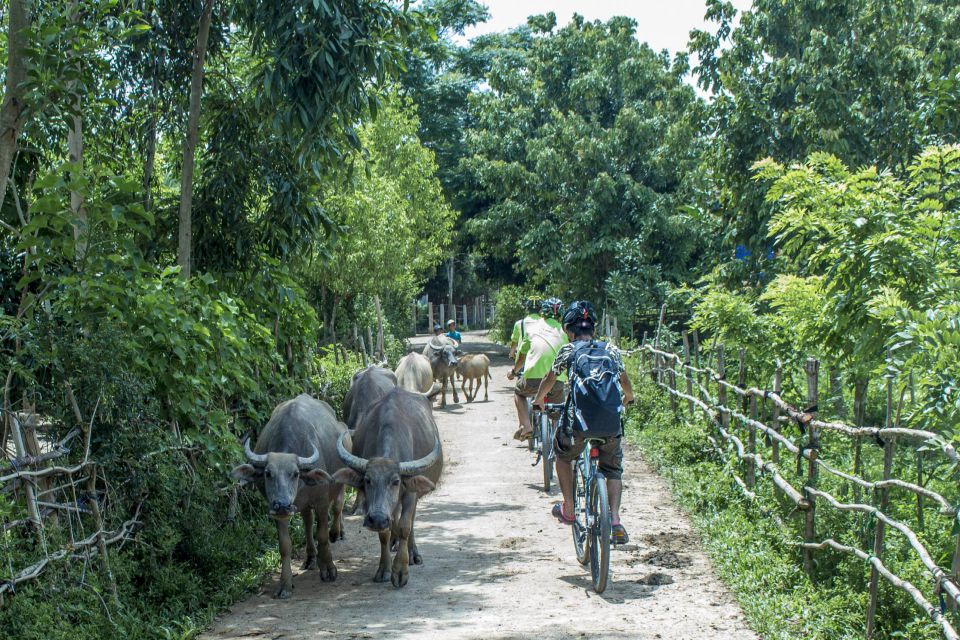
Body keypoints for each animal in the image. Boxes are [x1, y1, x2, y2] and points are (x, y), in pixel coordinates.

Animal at [232, 392, 348, 596]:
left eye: (295, 473)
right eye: (268, 473)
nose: (283, 504)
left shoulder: (321, 501)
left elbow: (323, 535)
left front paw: (329, 569)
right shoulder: (278, 512)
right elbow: (285, 546)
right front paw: (285, 584)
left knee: (336, 508)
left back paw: (334, 537)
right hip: (301, 504)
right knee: (308, 522)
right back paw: (310, 558)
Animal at [332, 388, 444, 588]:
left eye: (396, 481)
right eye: (367, 480)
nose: (377, 518)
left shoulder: (410, 493)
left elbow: (406, 525)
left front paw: (400, 571)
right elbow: (384, 534)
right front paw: (385, 569)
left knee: (409, 520)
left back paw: (413, 553)